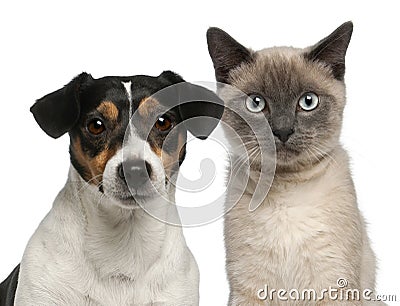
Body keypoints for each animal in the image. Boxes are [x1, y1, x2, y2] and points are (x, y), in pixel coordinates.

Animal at [208, 22, 380, 304]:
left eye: (308, 101)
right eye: (256, 103)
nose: (283, 131)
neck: (287, 192)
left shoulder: (334, 286)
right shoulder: (249, 288)